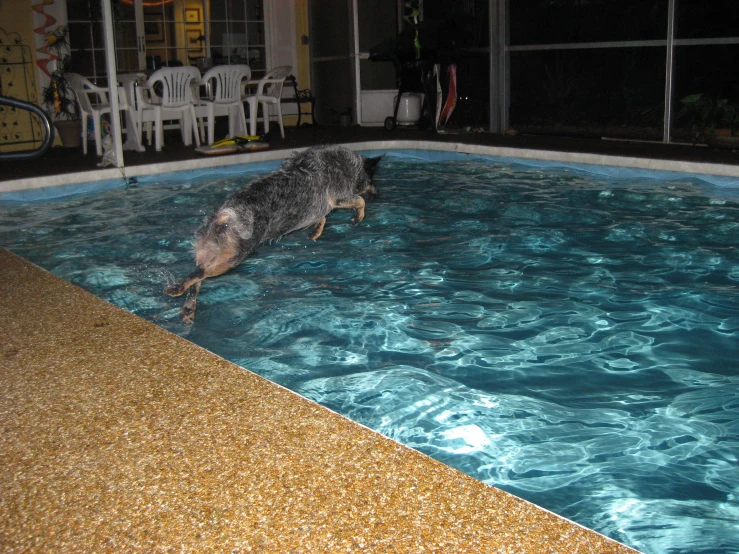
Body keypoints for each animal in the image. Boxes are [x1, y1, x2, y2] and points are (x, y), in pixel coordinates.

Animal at [166, 144, 382, 322]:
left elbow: (322, 218)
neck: (348, 163)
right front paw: (357, 216)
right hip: (233, 258)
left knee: (197, 280)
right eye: (372, 180)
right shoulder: (339, 197)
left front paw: (315, 231)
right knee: (199, 274)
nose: (378, 195)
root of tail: (225, 214)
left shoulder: (319, 209)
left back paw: (188, 308)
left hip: (208, 251)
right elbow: (359, 201)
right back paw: (177, 289)